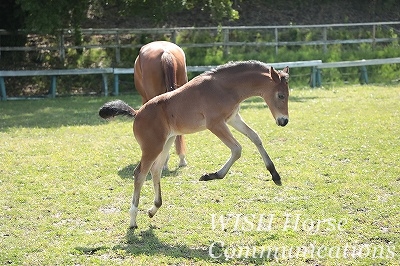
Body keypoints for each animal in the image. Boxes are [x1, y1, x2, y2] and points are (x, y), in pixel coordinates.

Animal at [98, 60, 290, 229]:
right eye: (280, 95)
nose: (284, 121)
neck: (225, 88)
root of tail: (137, 113)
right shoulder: (215, 124)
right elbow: (237, 149)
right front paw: (211, 175)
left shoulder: (233, 118)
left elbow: (255, 137)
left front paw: (275, 175)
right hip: (152, 147)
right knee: (140, 174)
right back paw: (133, 220)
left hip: (165, 143)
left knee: (156, 170)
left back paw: (153, 209)